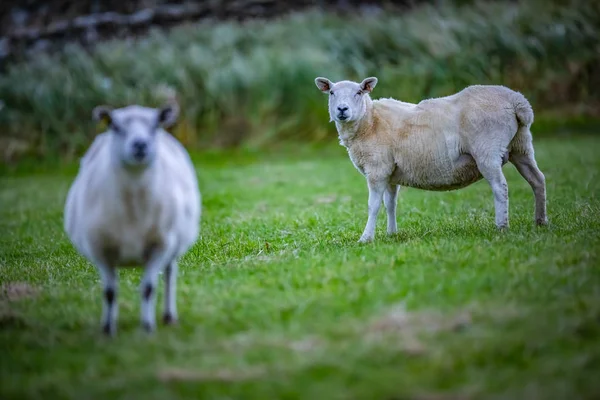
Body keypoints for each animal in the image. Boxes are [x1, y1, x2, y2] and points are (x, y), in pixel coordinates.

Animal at [64, 100, 202, 334]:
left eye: (154, 125)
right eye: (116, 127)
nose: (140, 145)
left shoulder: (159, 245)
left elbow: (148, 288)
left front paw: (146, 328)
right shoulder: (101, 250)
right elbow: (110, 292)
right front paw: (108, 330)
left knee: (169, 273)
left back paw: (168, 316)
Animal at [314, 76, 548, 242]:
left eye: (359, 92)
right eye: (332, 92)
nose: (342, 109)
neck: (369, 121)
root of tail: (518, 102)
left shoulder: (377, 168)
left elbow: (373, 205)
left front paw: (366, 238)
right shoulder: (390, 172)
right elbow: (390, 204)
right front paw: (391, 234)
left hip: (487, 150)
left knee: (501, 187)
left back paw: (501, 227)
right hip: (521, 146)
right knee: (538, 180)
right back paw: (541, 222)